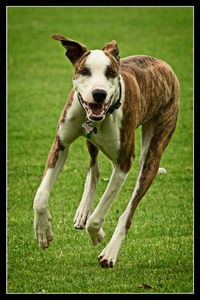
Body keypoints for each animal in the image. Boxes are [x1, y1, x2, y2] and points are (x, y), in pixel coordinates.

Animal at [33, 34, 180, 268]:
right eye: (85, 71)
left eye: (111, 72)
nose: (99, 93)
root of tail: (163, 65)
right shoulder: (61, 144)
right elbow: (39, 197)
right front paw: (43, 232)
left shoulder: (123, 164)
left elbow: (97, 217)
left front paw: (98, 234)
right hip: (91, 141)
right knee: (95, 168)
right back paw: (83, 210)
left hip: (153, 151)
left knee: (128, 212)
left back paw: (110, 252)